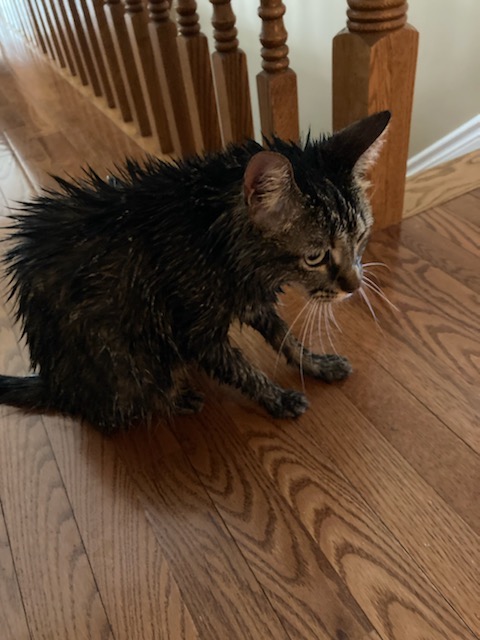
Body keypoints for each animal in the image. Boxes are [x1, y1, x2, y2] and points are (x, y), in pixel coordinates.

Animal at [0, 111, 390, 434]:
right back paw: (175, 398)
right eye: (315, 257)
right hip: (128, 359)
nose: (354, 286)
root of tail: (55, 384)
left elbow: (286, 338)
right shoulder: (196, 332)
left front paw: (317, 364)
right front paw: (277, 398)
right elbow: (243, 370)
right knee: (123, 407)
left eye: (361, 238)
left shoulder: (252, 299)